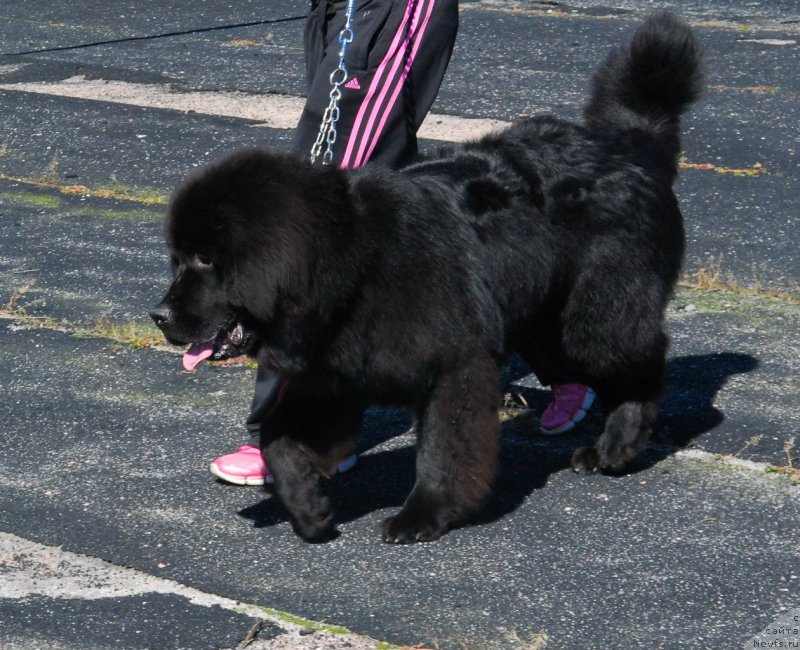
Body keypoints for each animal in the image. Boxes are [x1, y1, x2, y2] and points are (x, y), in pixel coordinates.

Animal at [148, 11, 700, 540]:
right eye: (178, 258)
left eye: (206, 260)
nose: (158, 314)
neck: (357, 265)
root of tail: (628, 143)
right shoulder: (334, 376)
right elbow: (279, 439)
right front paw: (309, 508)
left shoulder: (454, 365)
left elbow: (443, 452)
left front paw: (424, 515)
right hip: (541, 315)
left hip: (592, 320)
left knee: (645, 359)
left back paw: (617, 447)